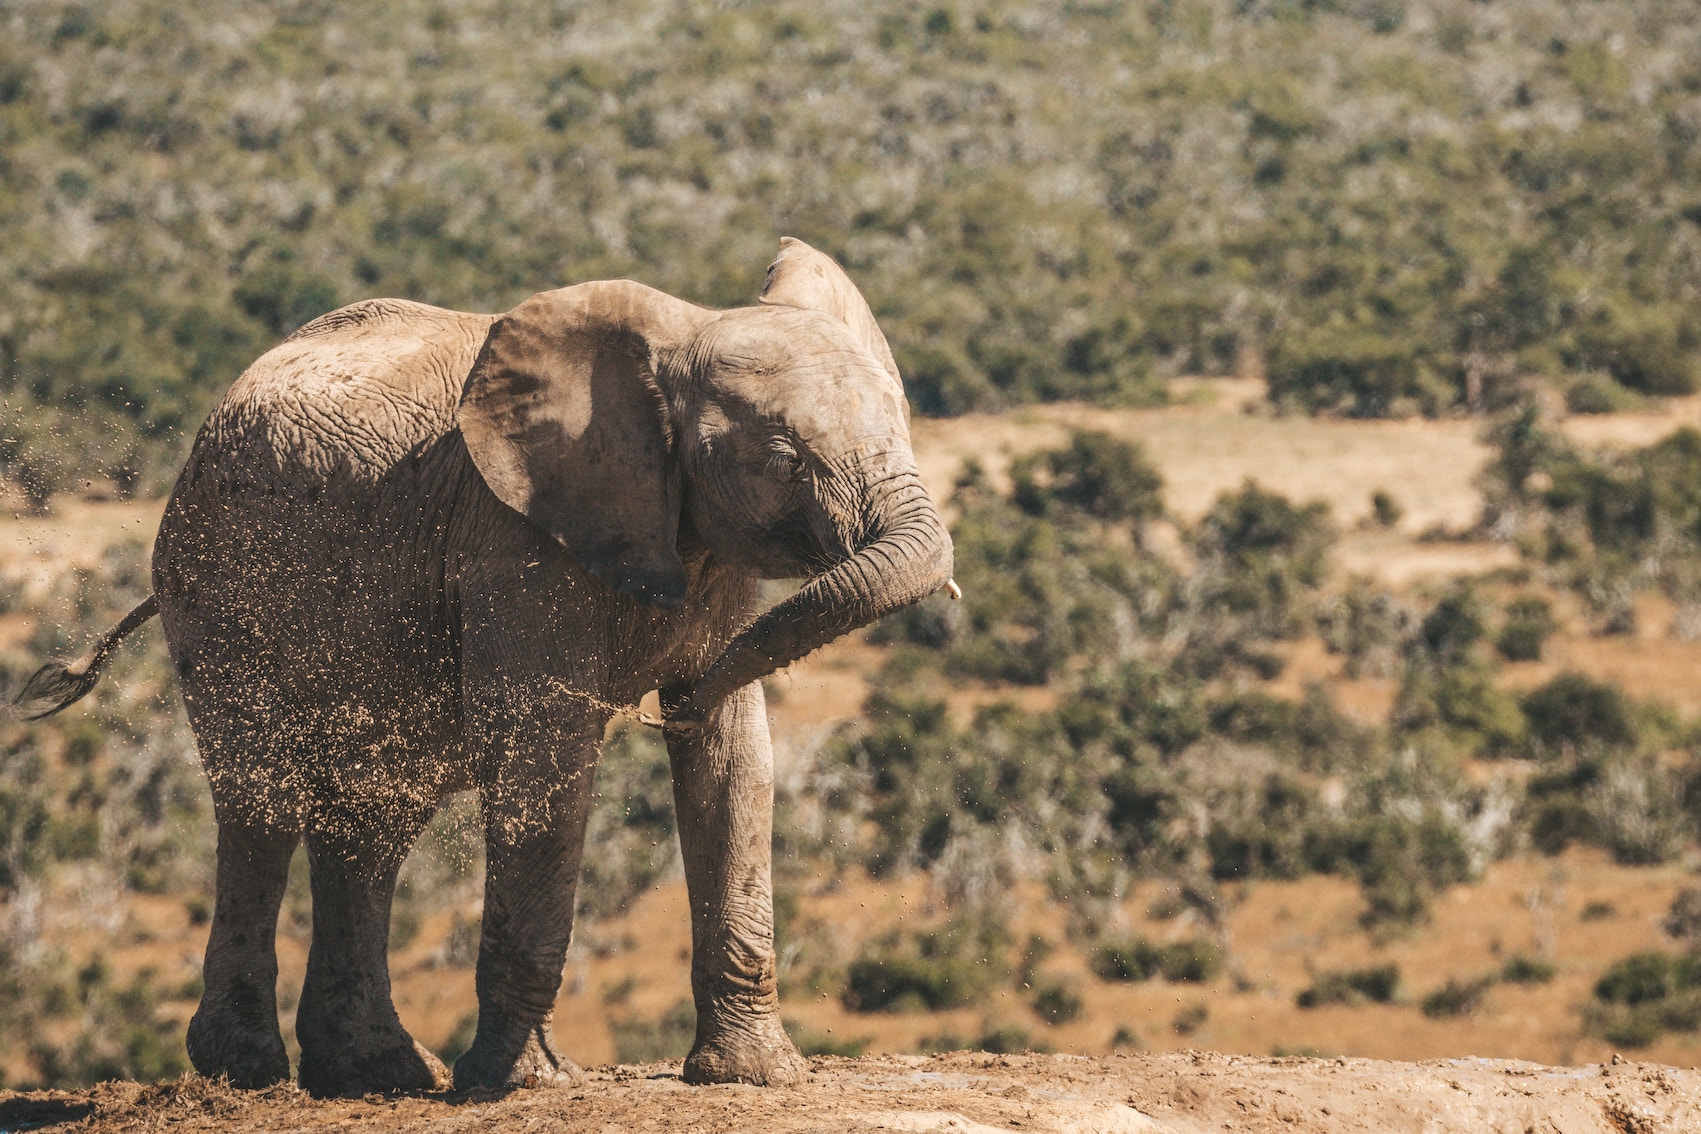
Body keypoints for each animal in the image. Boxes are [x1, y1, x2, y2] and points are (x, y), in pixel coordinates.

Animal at [12, 238, 954, 1096]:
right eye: (784, 458)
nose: (658, 707)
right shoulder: (513, 548)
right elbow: (546, 757)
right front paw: (523, 1082)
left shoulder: (712, 566)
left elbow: (734, 765)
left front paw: (751, 1078)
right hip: (217, 589)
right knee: (262, 809)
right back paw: (247, 1074)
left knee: (371, 823)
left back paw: (377, 1073)